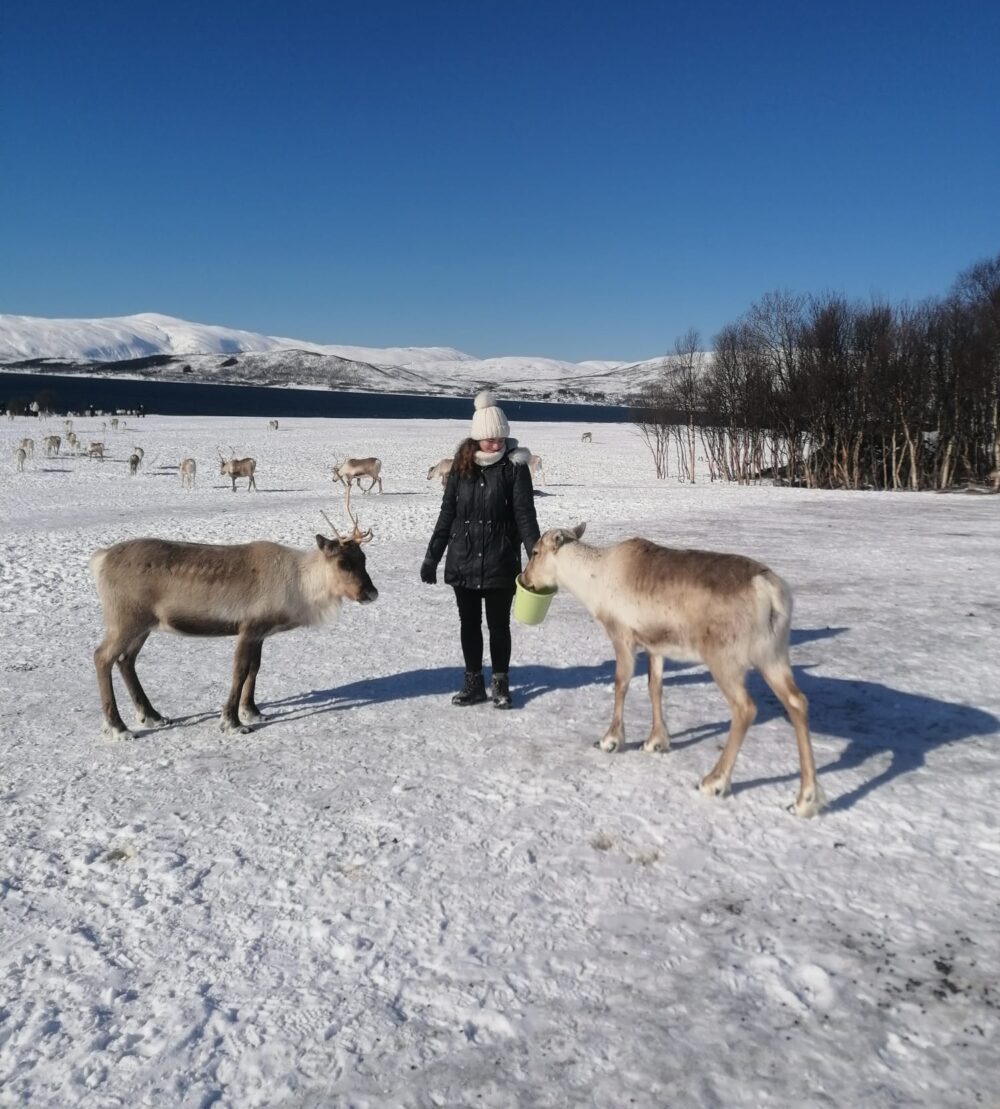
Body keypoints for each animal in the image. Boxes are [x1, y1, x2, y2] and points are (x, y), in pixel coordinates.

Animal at [89, 508, 378, 740]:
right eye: (343, 562)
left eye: (364, 559)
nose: (371, 592)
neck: (301, 585)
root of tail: (101, 558)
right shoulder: (248, 627)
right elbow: (239, 671)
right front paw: (232, 722)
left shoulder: (260, 633)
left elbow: (255, 669)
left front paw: (252, 711)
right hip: (125, 619)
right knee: (102, 656)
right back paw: (119, 727)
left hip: (143, 625)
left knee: (126, 660)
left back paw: (152, 715)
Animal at [521, 523, 824, 818]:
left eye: (535, 552)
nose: (524, 579)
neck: (594, 580)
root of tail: (770, 591)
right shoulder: (655, 646)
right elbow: (654, 687)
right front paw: (656, 741)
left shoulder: (623, 636)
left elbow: (621, 684)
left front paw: (610, 740)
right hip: (773, 656)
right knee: (798, 702)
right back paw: (805, 800)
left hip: (725, 658)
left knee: (745, 708)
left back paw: (714, 781)